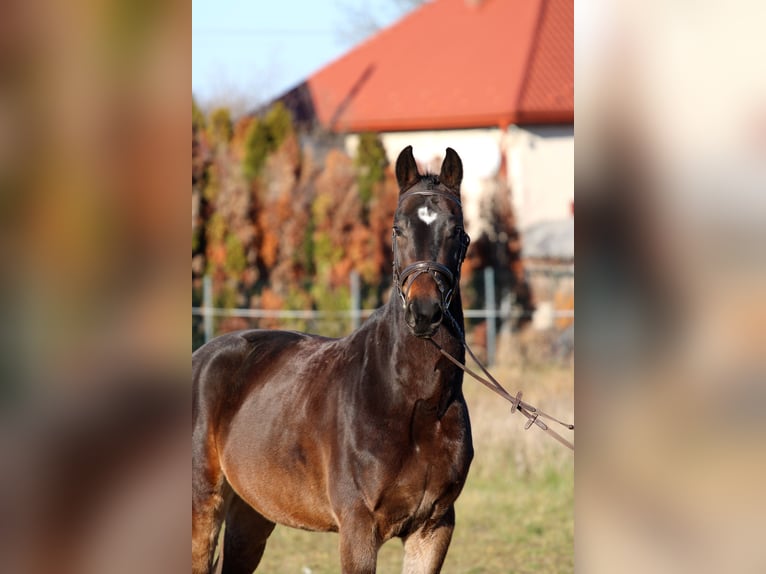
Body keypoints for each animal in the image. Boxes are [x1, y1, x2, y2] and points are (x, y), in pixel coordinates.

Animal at [192, 147, 474, 574]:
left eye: (457, 231)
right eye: (397, 229)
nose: (424, 312)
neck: (414, 401)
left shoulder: (434, 527)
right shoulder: (358, 527)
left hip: (252, 512)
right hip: (203, 503)